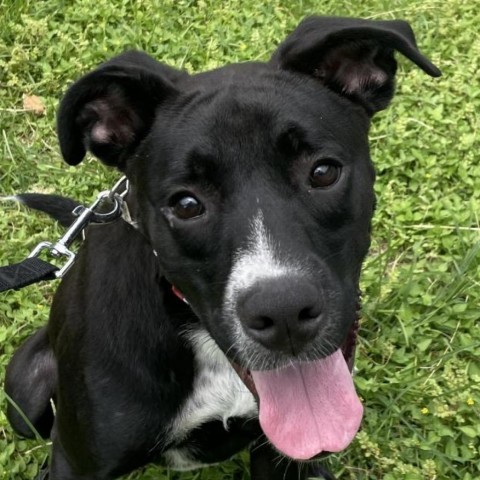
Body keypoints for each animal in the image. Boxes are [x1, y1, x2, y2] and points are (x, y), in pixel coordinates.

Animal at [4, 16, 438, 480]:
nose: (284, 312)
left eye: (323, 172)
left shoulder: (279, 455)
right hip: (23, 391)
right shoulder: (79, 463)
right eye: (186, 204)